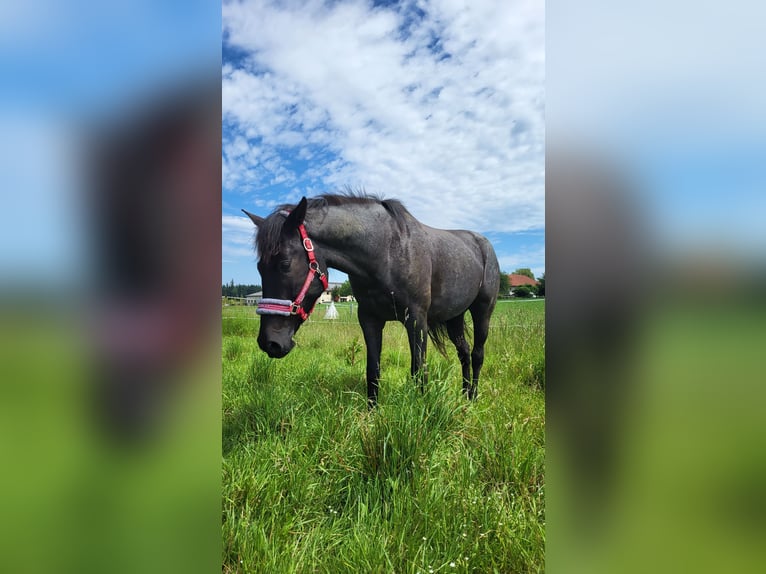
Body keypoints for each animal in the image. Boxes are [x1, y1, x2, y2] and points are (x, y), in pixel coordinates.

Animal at [243, 196, 500, 408]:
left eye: (285, 264)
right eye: (259, 267)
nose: (270, 343)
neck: (386, 251)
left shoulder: (416, 320)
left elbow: (418, 370)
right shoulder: (369, 319)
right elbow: (373, 370)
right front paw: (372, 415)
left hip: (482, 311)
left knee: (477, 354)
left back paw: (473, 398)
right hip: (454, 316)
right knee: (464, 353)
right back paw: (464, 396)